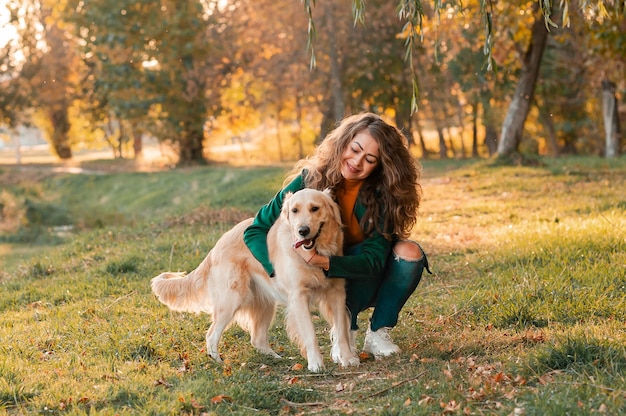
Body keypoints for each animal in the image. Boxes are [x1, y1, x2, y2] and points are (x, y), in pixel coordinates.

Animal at [149, 188, 358, 370]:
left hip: (265, 304)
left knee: (256, 338)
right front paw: (315, 364)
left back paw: (274, 357)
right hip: (232, 300)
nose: (303, 231)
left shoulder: (337, 294)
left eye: (315, 208)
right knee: (211, 334)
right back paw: (218, 361)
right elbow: (310, 334)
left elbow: (342, 331)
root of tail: (216, 246)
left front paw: (348, 358)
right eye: (295, 210)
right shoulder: (298, 297)